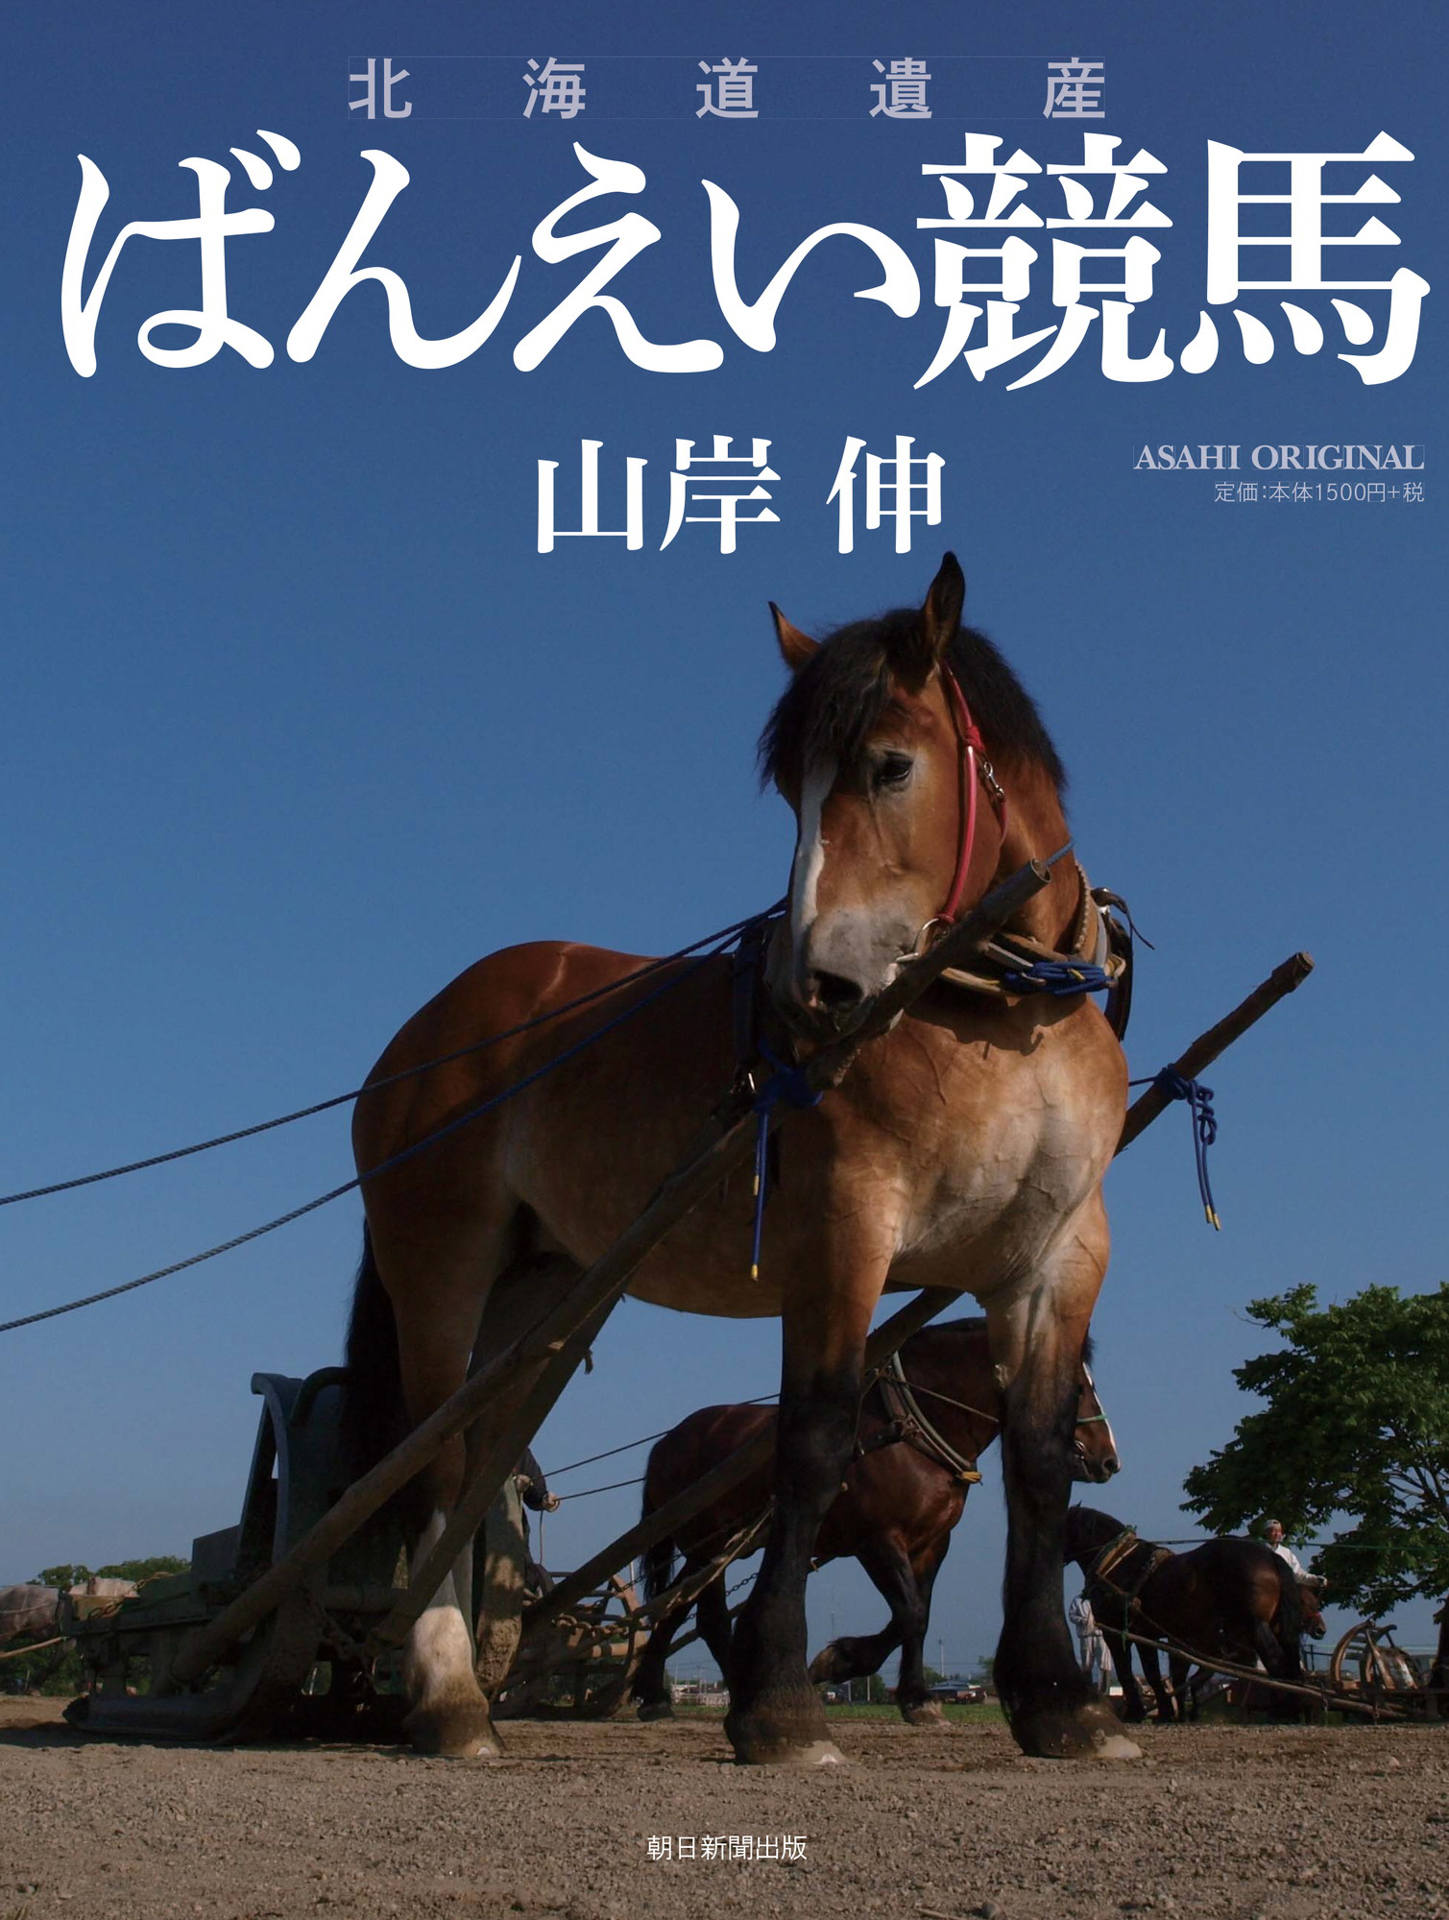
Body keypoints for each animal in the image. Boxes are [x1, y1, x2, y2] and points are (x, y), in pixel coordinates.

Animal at [630, 1319, 1120, 1724]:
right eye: (1076, 1388)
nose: (1107, 1460)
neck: (909, 1428)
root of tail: (670, 1441)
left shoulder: (931, 1544)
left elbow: (921, 1616)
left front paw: (917, 1699)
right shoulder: (877, 1538)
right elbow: (908, 1612)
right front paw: (839, 1660)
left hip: (716, 1547)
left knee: (678, 1610)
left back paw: (665, 1695)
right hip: (706, 1544)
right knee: (701, 1615)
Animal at [1063, 1506, 1304, 1722]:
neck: (1117, 1563)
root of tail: (1269, 1556)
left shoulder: (1120, 1633)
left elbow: (1133, 1672)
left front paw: (1139, 1712)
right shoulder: (1148, 1635)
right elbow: (1155, 1673)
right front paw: (1166, 1712)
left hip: (1252, 1624)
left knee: (1271, 1658)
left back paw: (1280, 1710)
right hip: (1264, 1626)